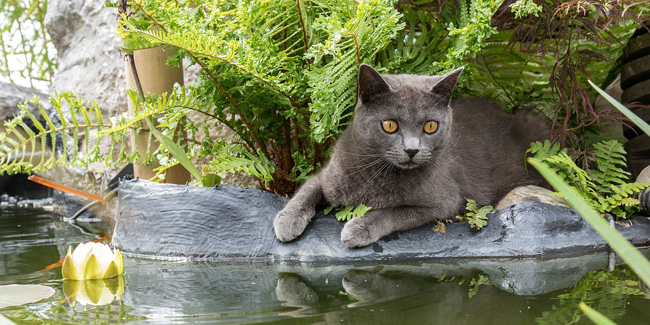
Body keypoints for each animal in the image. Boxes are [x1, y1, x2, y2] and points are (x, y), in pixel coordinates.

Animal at [272, 63, 548, 247]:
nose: (412, 149)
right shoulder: (330, 175)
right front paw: (287, 220)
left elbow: (396, 211)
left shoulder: (445, 202)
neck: (377, 173)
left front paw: (360, 227)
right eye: (389, 125)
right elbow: (307, 189)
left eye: (431, 126)